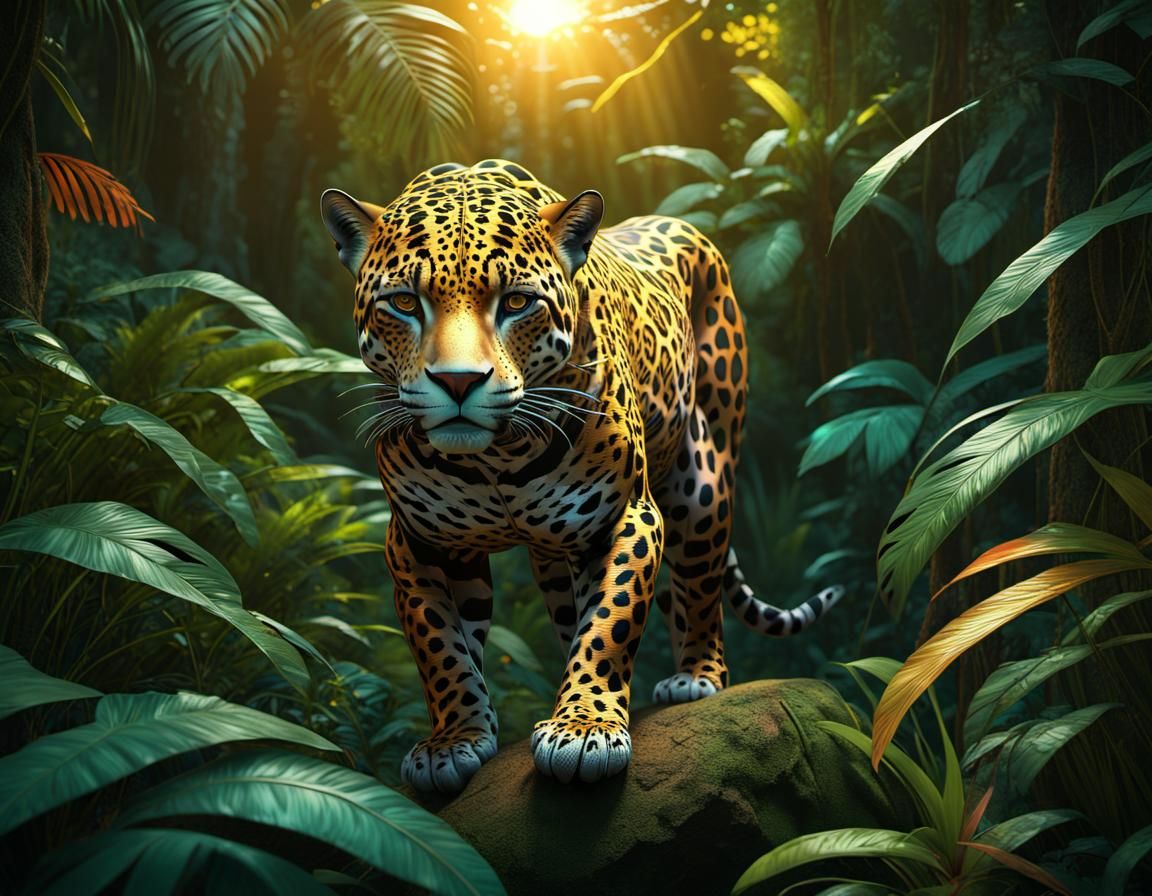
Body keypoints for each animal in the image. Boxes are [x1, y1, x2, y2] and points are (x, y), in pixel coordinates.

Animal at [321, 159, 843, 794]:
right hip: (554, 554)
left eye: (517, 302)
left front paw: (585, 729)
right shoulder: (418, 542)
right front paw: (453, 742)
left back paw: (696, 677)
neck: (496, 459)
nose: (459, 382)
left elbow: (610, 623)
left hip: (704, 477)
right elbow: (441, 647)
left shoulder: (626, 516)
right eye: (402, 302)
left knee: (699, 586)